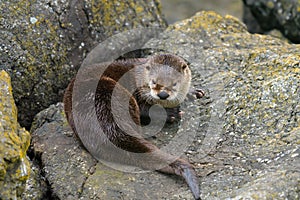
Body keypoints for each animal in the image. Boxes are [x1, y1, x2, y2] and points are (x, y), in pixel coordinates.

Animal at [63, 54, 204, 199]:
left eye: (174, 83)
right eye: (153, 82)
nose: (163, 94)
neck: (138, 77)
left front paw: (192, 92)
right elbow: (145, 108)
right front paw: (171, 113)